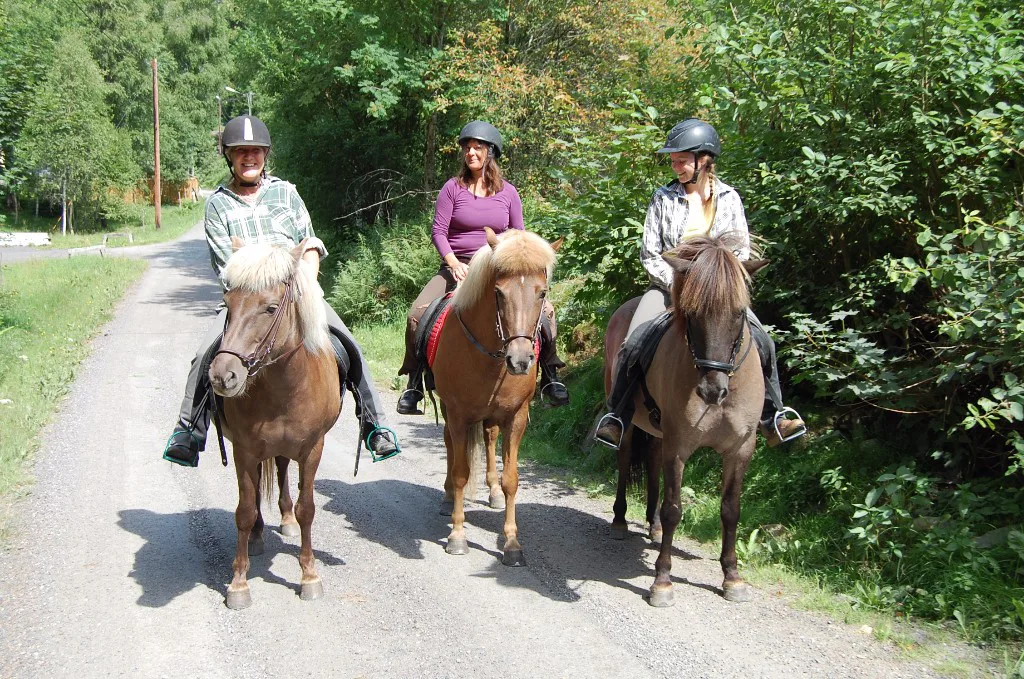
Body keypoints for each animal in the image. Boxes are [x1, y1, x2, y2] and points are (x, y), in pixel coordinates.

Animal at [206, 238, 339, 610]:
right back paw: (259, 534)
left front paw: (309, 576)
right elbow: (244, 511)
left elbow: (308, 509)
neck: (285, 388)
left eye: (269, 308)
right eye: (228, 304)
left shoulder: (312, 449)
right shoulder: (244, 451)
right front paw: (238, 583)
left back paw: (286, 519)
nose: (222, 376)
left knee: (281, 471)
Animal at [432, 228, 561, 569]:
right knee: (450, 445)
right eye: (499, 293)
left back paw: (490, 492)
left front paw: (513, 545)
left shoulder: (516, 417)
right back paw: (447, 497)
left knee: (489, 439)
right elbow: (461, 473)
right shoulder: (459, 414)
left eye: (542, 293)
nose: (520, 360)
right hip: (449, 412)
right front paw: (458, 536)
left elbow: (511, 479)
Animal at [602, 236, 765, 606]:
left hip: (658, 431)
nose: (711, 390)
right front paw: (662, 581)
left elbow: (731, 510)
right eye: (691, 314)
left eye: (739, 313)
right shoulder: (679, 446)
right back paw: (620, 521)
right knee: (624, 460)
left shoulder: (740, 450)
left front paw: (732, 577)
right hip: (629, 425)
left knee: (651, 463)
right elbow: (674, 508)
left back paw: (653, 526)